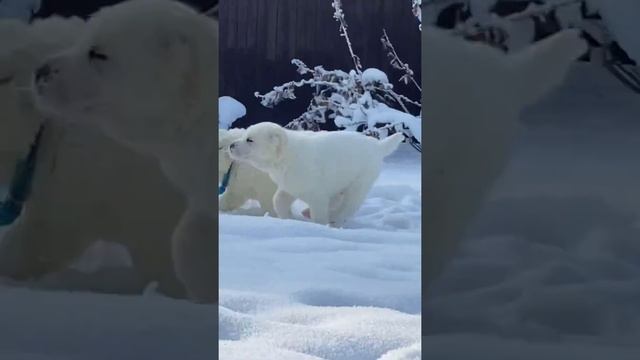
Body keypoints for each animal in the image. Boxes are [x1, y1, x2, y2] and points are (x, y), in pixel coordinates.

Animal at [228, 122, 402, 226]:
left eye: (250, 140)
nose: (231, 145)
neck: (286, 155)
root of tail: (378, 146)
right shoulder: (291, 184)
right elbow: (278, 199)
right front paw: (288, 217)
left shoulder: (316, 192)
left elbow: (319, 212)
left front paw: (318, 226)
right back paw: (308, 213)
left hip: (360, 182)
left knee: (348, 205)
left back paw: (335, 220)